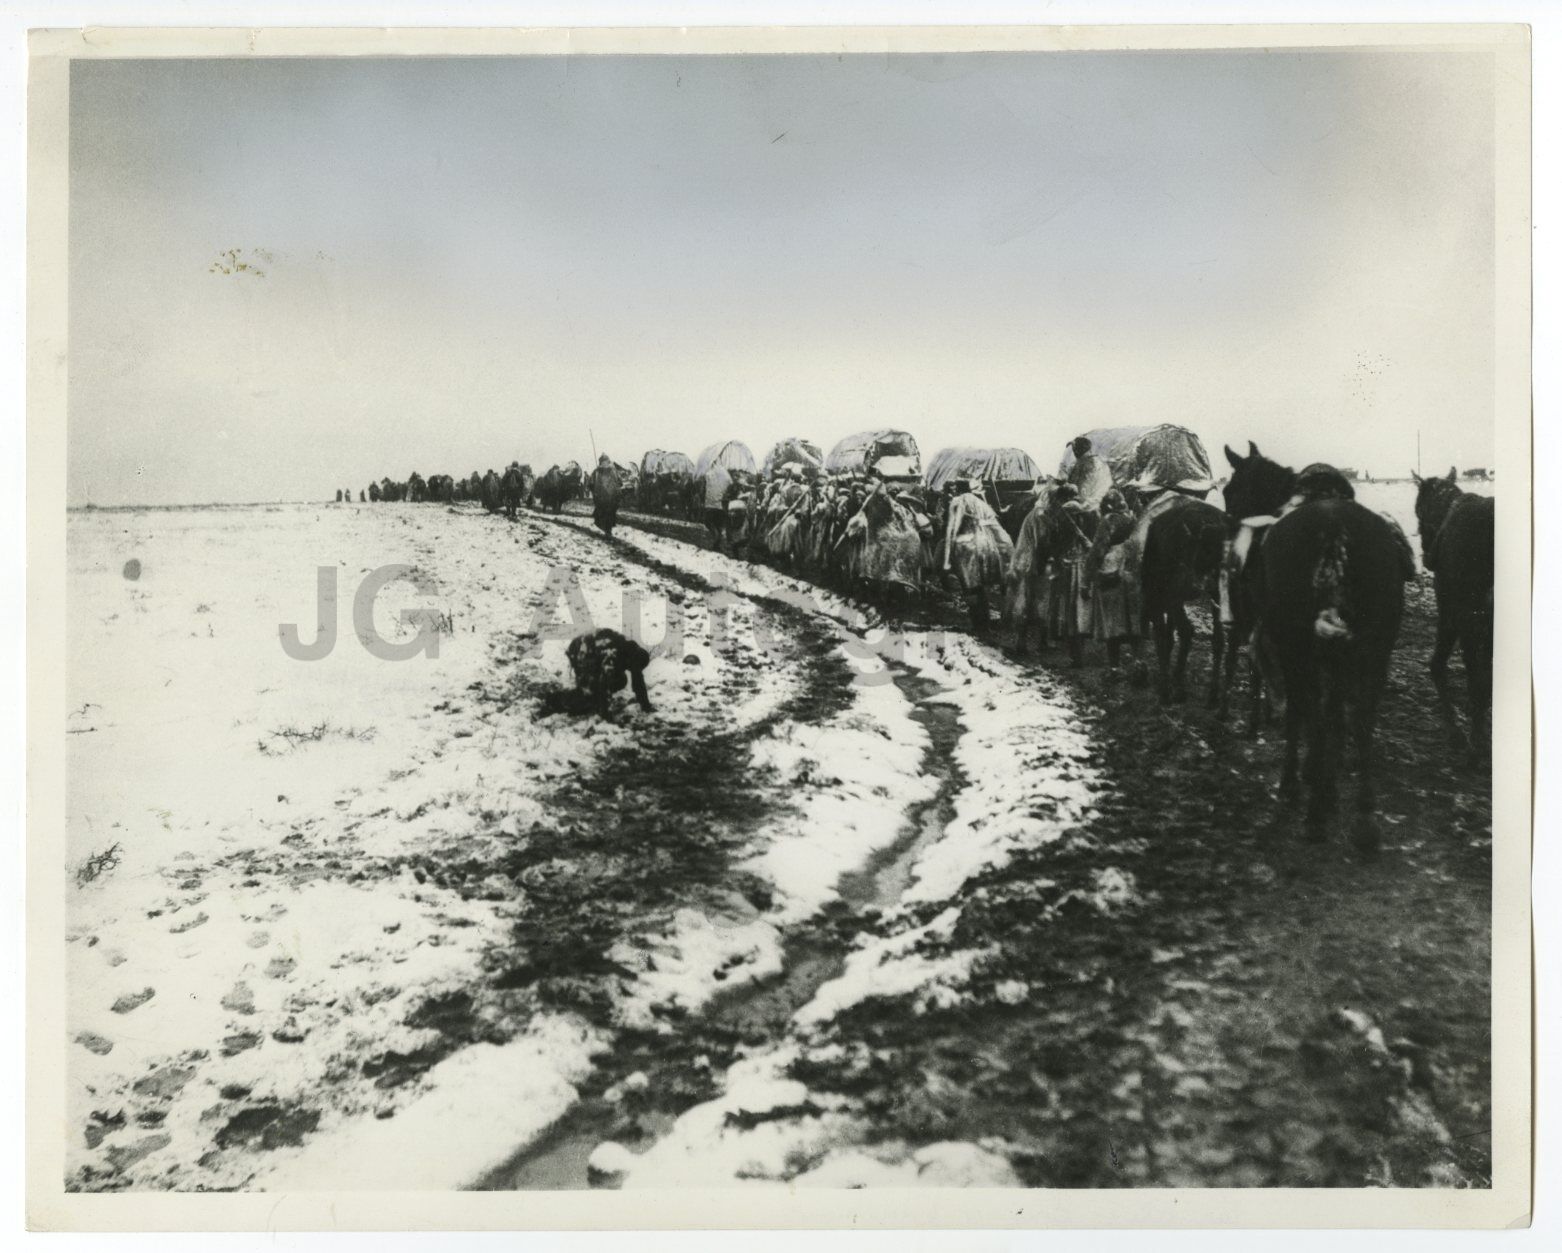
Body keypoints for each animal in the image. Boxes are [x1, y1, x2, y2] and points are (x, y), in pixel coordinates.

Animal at [1224, 440, 1412, 849]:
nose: (1232, 546)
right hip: (1376, 647)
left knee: (1310, 706)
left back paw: (1313, 813)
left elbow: (1304, 712)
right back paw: (1364, 818)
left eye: (1230, 489)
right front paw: (1325, 777)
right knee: (1362, 718)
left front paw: (1301, 780)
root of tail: (1334, 532)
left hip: (1300, 644)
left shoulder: (1291, 646)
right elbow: (1334, 712)